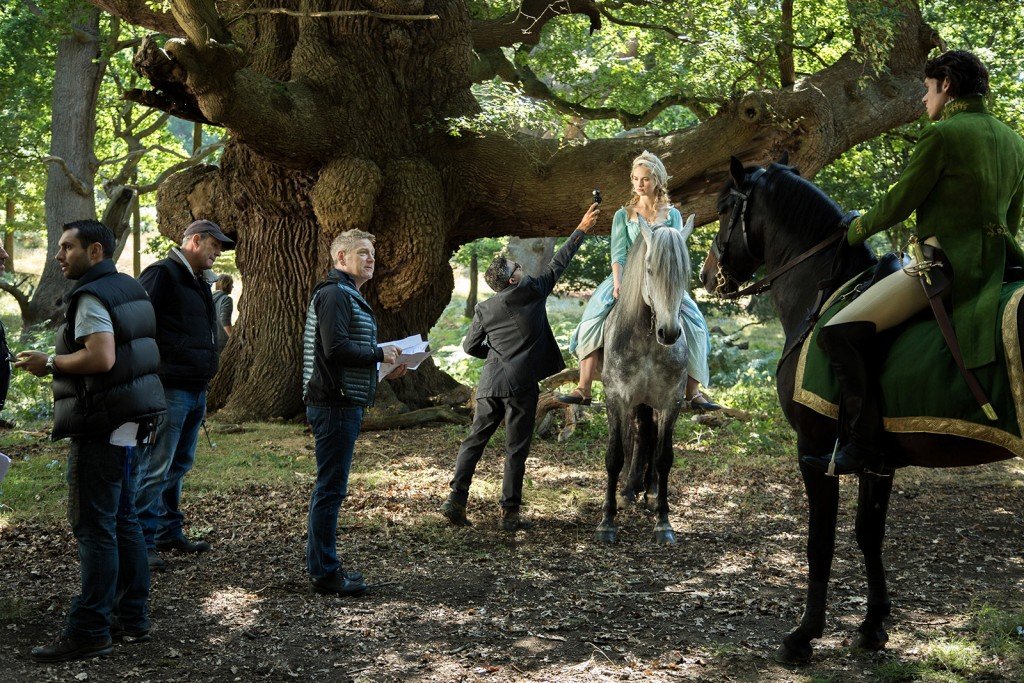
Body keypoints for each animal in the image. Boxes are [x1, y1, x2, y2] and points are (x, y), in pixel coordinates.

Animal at [598, 214, 692, 544]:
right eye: (650, 269)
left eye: (685, 273)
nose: (670, 332)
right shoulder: (617, 399)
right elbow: (615, 455)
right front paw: (607, 521)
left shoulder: (670, 401)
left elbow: (664, 458)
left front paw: (664, 521)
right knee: (638, 436)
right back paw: (628, 491)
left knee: (648, 436)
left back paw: (648, 492)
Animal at [700, 154, 1019, 663]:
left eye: (726, 206)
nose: (708, 275)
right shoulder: (876, 458)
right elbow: (869, 534)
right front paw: (872, 626)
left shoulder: (813, 450)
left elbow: (820, 542)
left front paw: (804, 635)